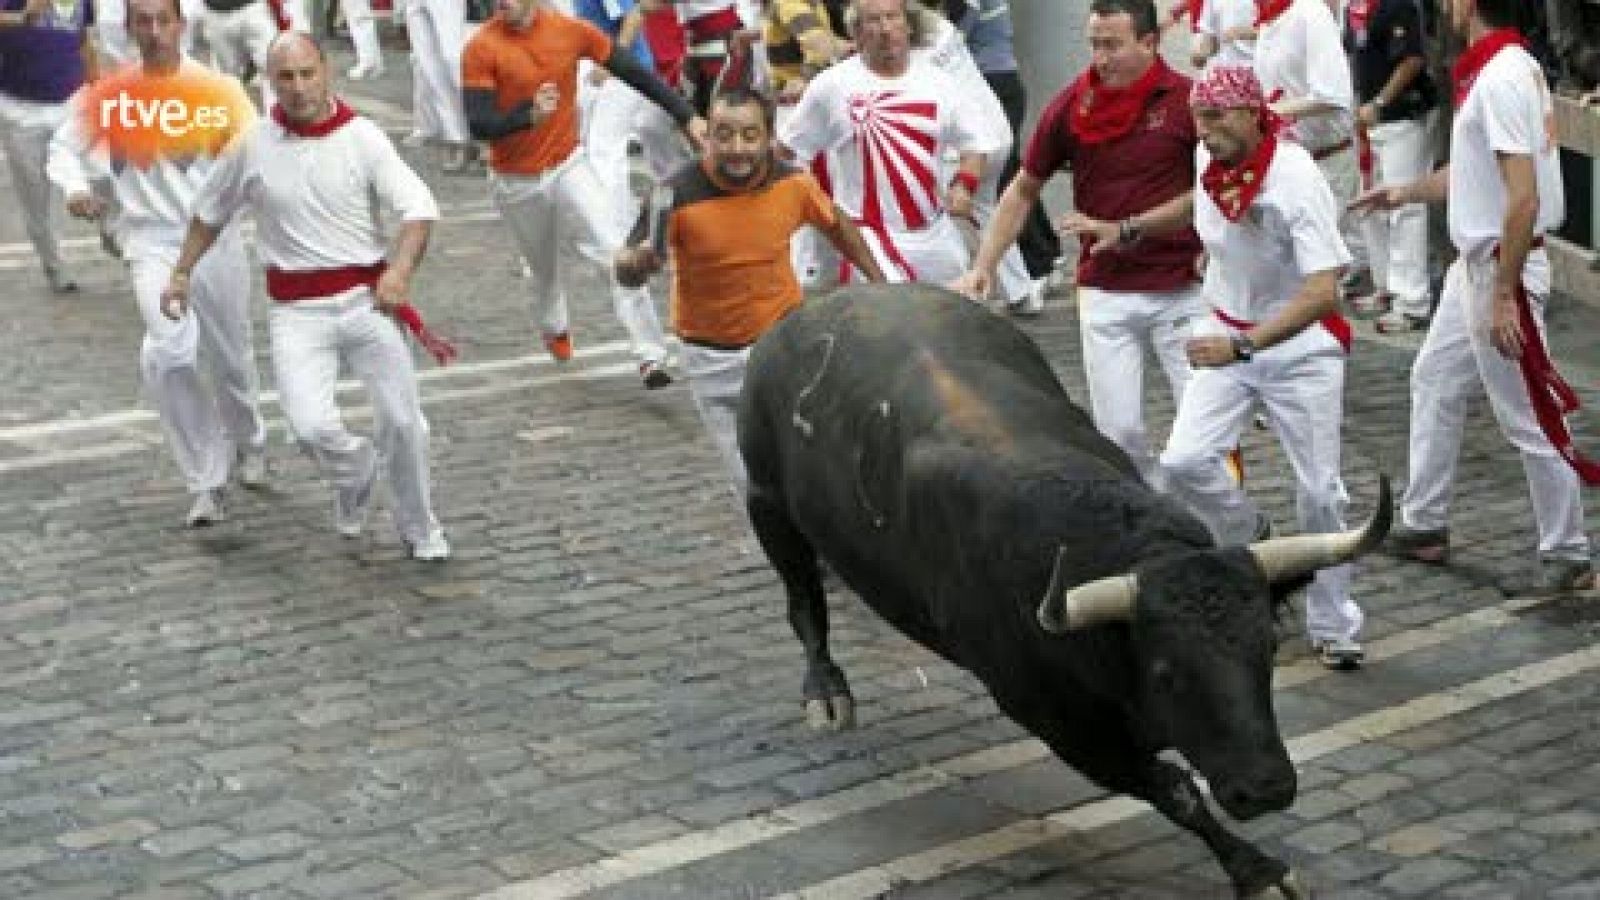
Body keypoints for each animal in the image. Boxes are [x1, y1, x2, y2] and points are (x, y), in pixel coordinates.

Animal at [736, 283, 1388, 890]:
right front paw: (1255, 870)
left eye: (1268, 649)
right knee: (803, 602)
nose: (1266, 788)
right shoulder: (1053, 718)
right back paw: (826, 693)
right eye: (1165, 673)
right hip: (768, 504)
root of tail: (807, 314)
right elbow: (1174, 789)